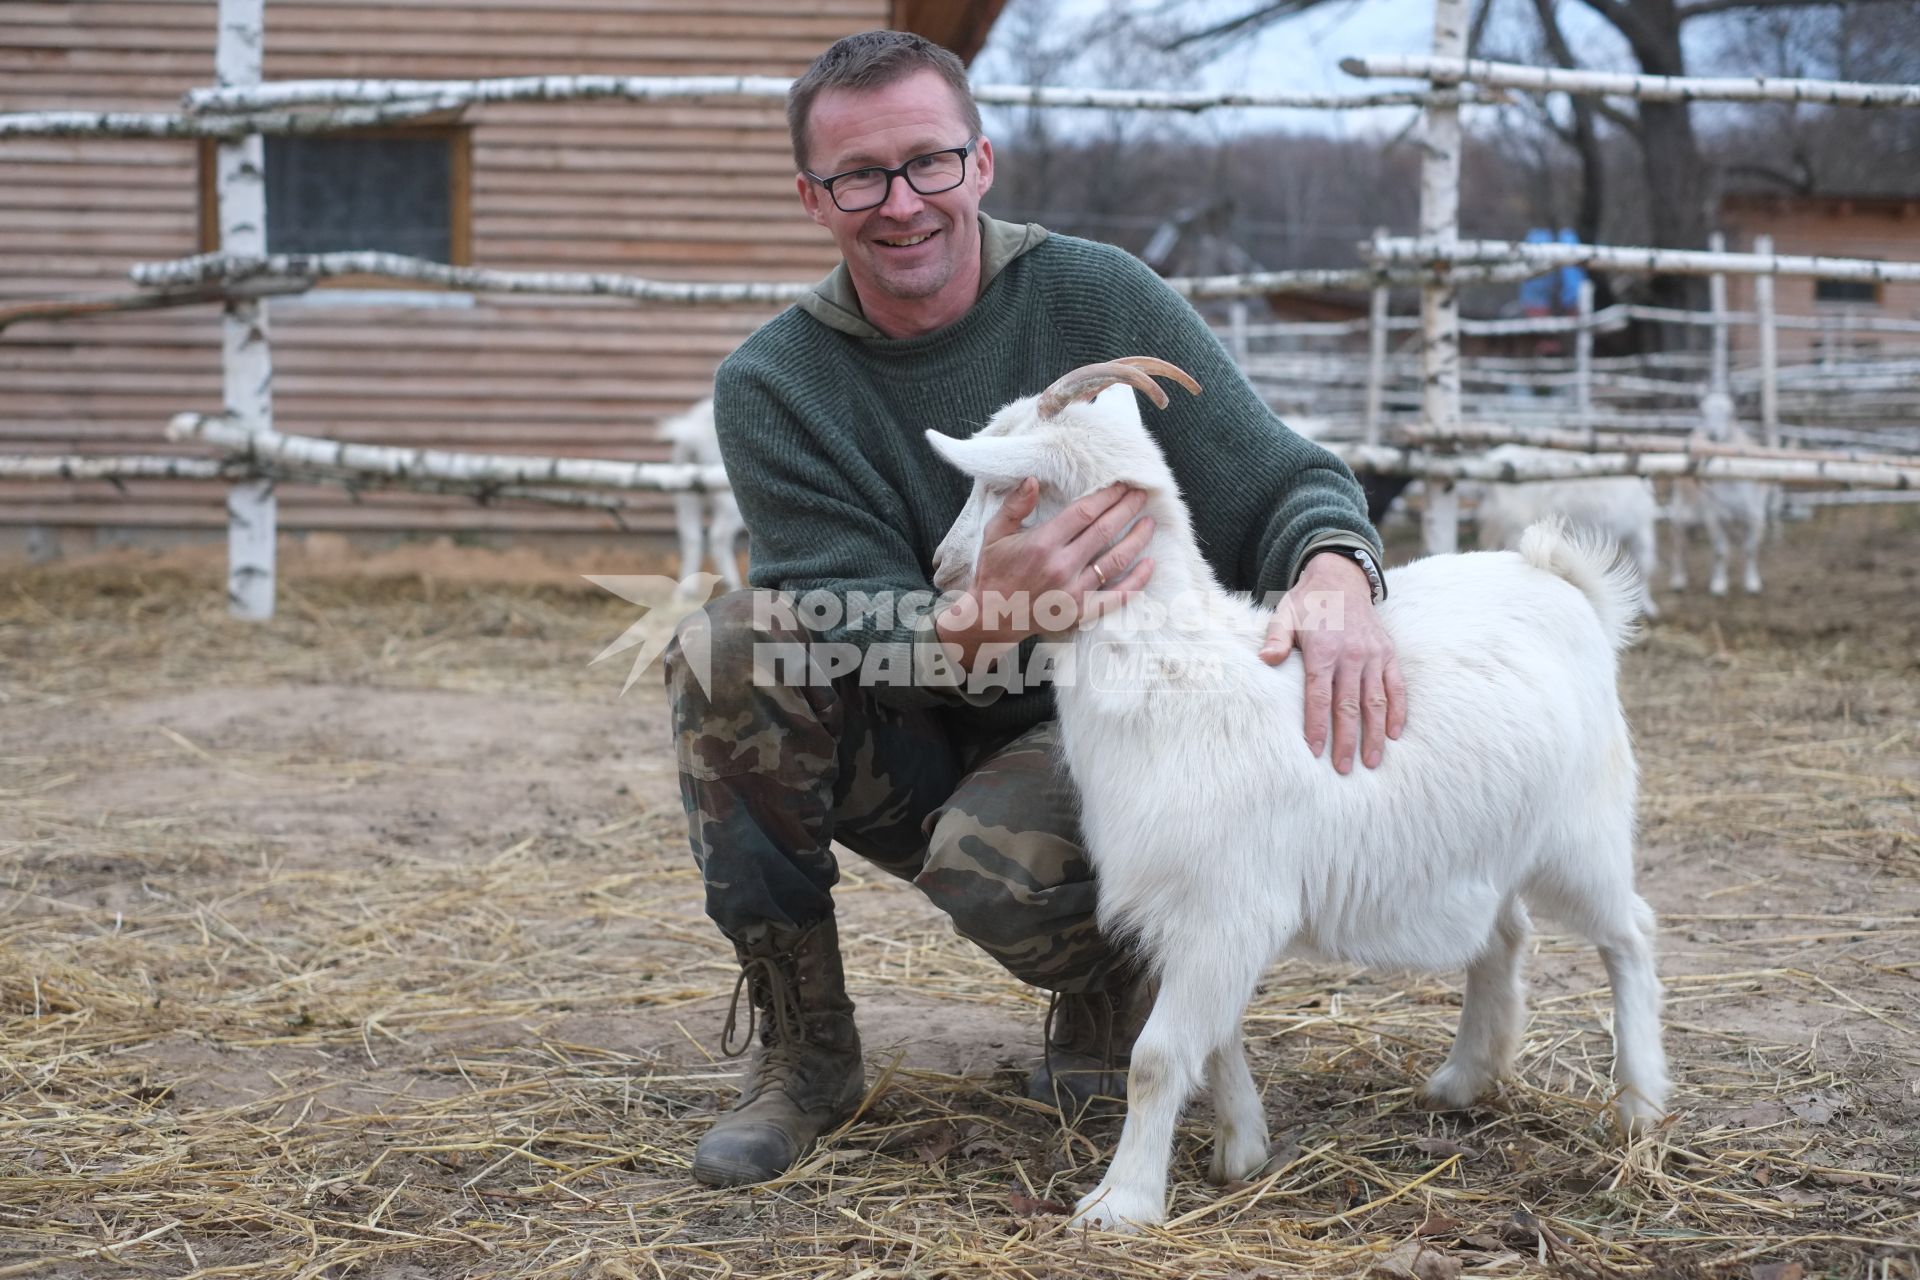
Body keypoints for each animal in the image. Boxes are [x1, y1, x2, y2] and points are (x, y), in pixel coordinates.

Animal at [664, 397, 744, 594]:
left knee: (691, 536)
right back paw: (733, 585)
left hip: (685, 493)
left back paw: (685, 592)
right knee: (718, 536)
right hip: (728, 498)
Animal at [1666, 393, 1766, 598]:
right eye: (1702, 412)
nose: (1712, 435)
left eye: (1731, 413)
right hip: (1678, 510)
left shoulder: (1755, 515)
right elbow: (1720, 551)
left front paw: (1752, 583)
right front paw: (1719, 585)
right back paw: (1678, 581)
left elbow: (1750, 548)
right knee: (1679, 545)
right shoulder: (1714, 516)